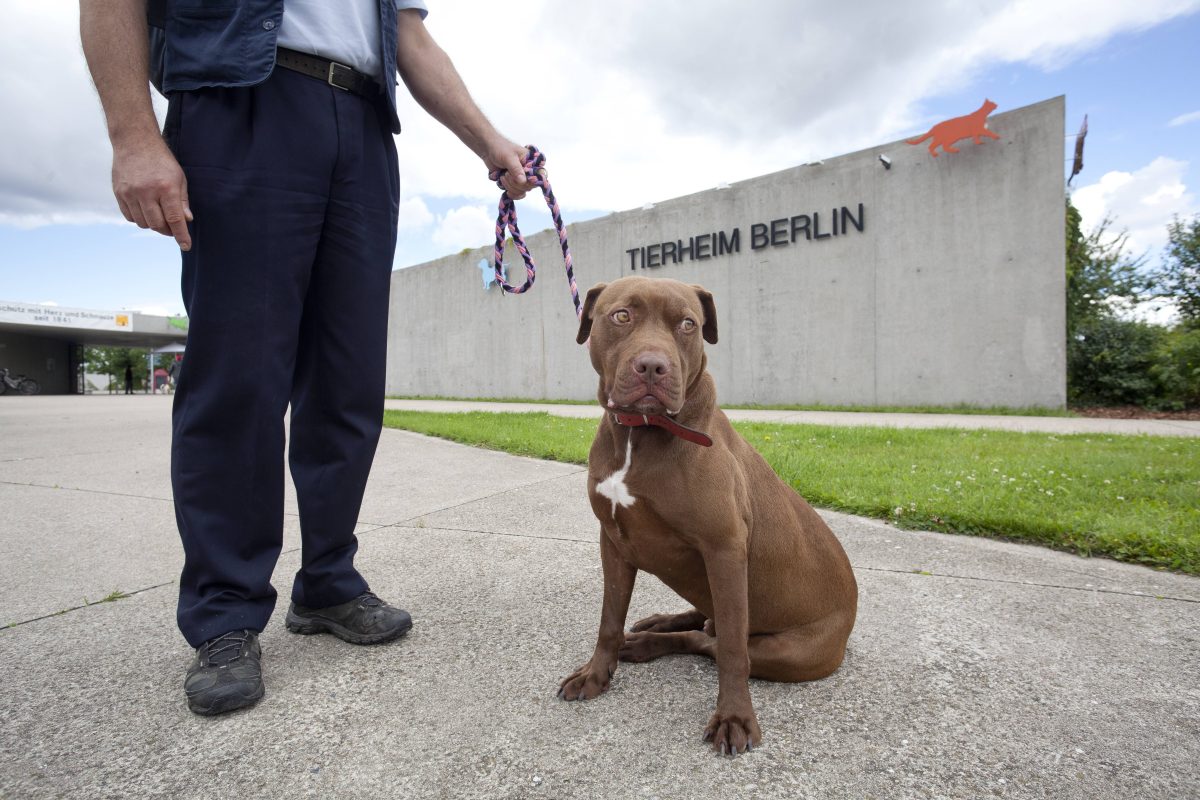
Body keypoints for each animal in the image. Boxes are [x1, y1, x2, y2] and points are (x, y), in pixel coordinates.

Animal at [556, 277, 859, 758]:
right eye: (621, 315)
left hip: (791, 652)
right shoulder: (613, 542)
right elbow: (609, 620)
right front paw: (595, 675)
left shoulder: (725, 551)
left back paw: (650, 643)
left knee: (713, 640)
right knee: (703, 622)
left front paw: (734, 717)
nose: (653, 367)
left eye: (687, 324)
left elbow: (733, 648)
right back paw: (655, 627)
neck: (640, 434)